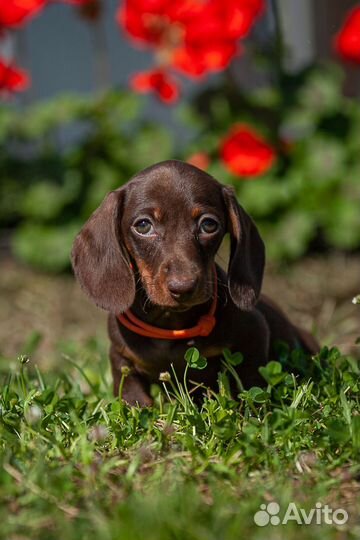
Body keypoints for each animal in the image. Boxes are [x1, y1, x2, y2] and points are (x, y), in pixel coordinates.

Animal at [71, 160, 318, 404]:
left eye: (208, 224)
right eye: (143, 225)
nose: (183, 287)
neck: (170, 323)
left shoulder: (254, 332)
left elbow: (250, 384)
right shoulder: (121, 357)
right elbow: (132, 396)